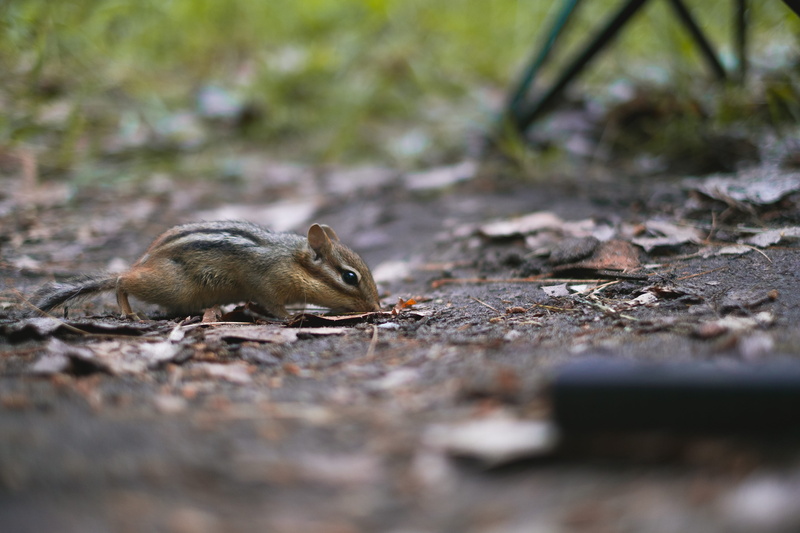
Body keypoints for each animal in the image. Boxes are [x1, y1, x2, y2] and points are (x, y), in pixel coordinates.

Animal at [29, 220, 381, 319]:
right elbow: (273, 304)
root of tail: (145, 259)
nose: (378, 308)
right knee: (120, 280)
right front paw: (290, 316)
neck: (289, 258)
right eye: (350, 277)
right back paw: (129, 312)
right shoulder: (264, 281)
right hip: (169, 283)